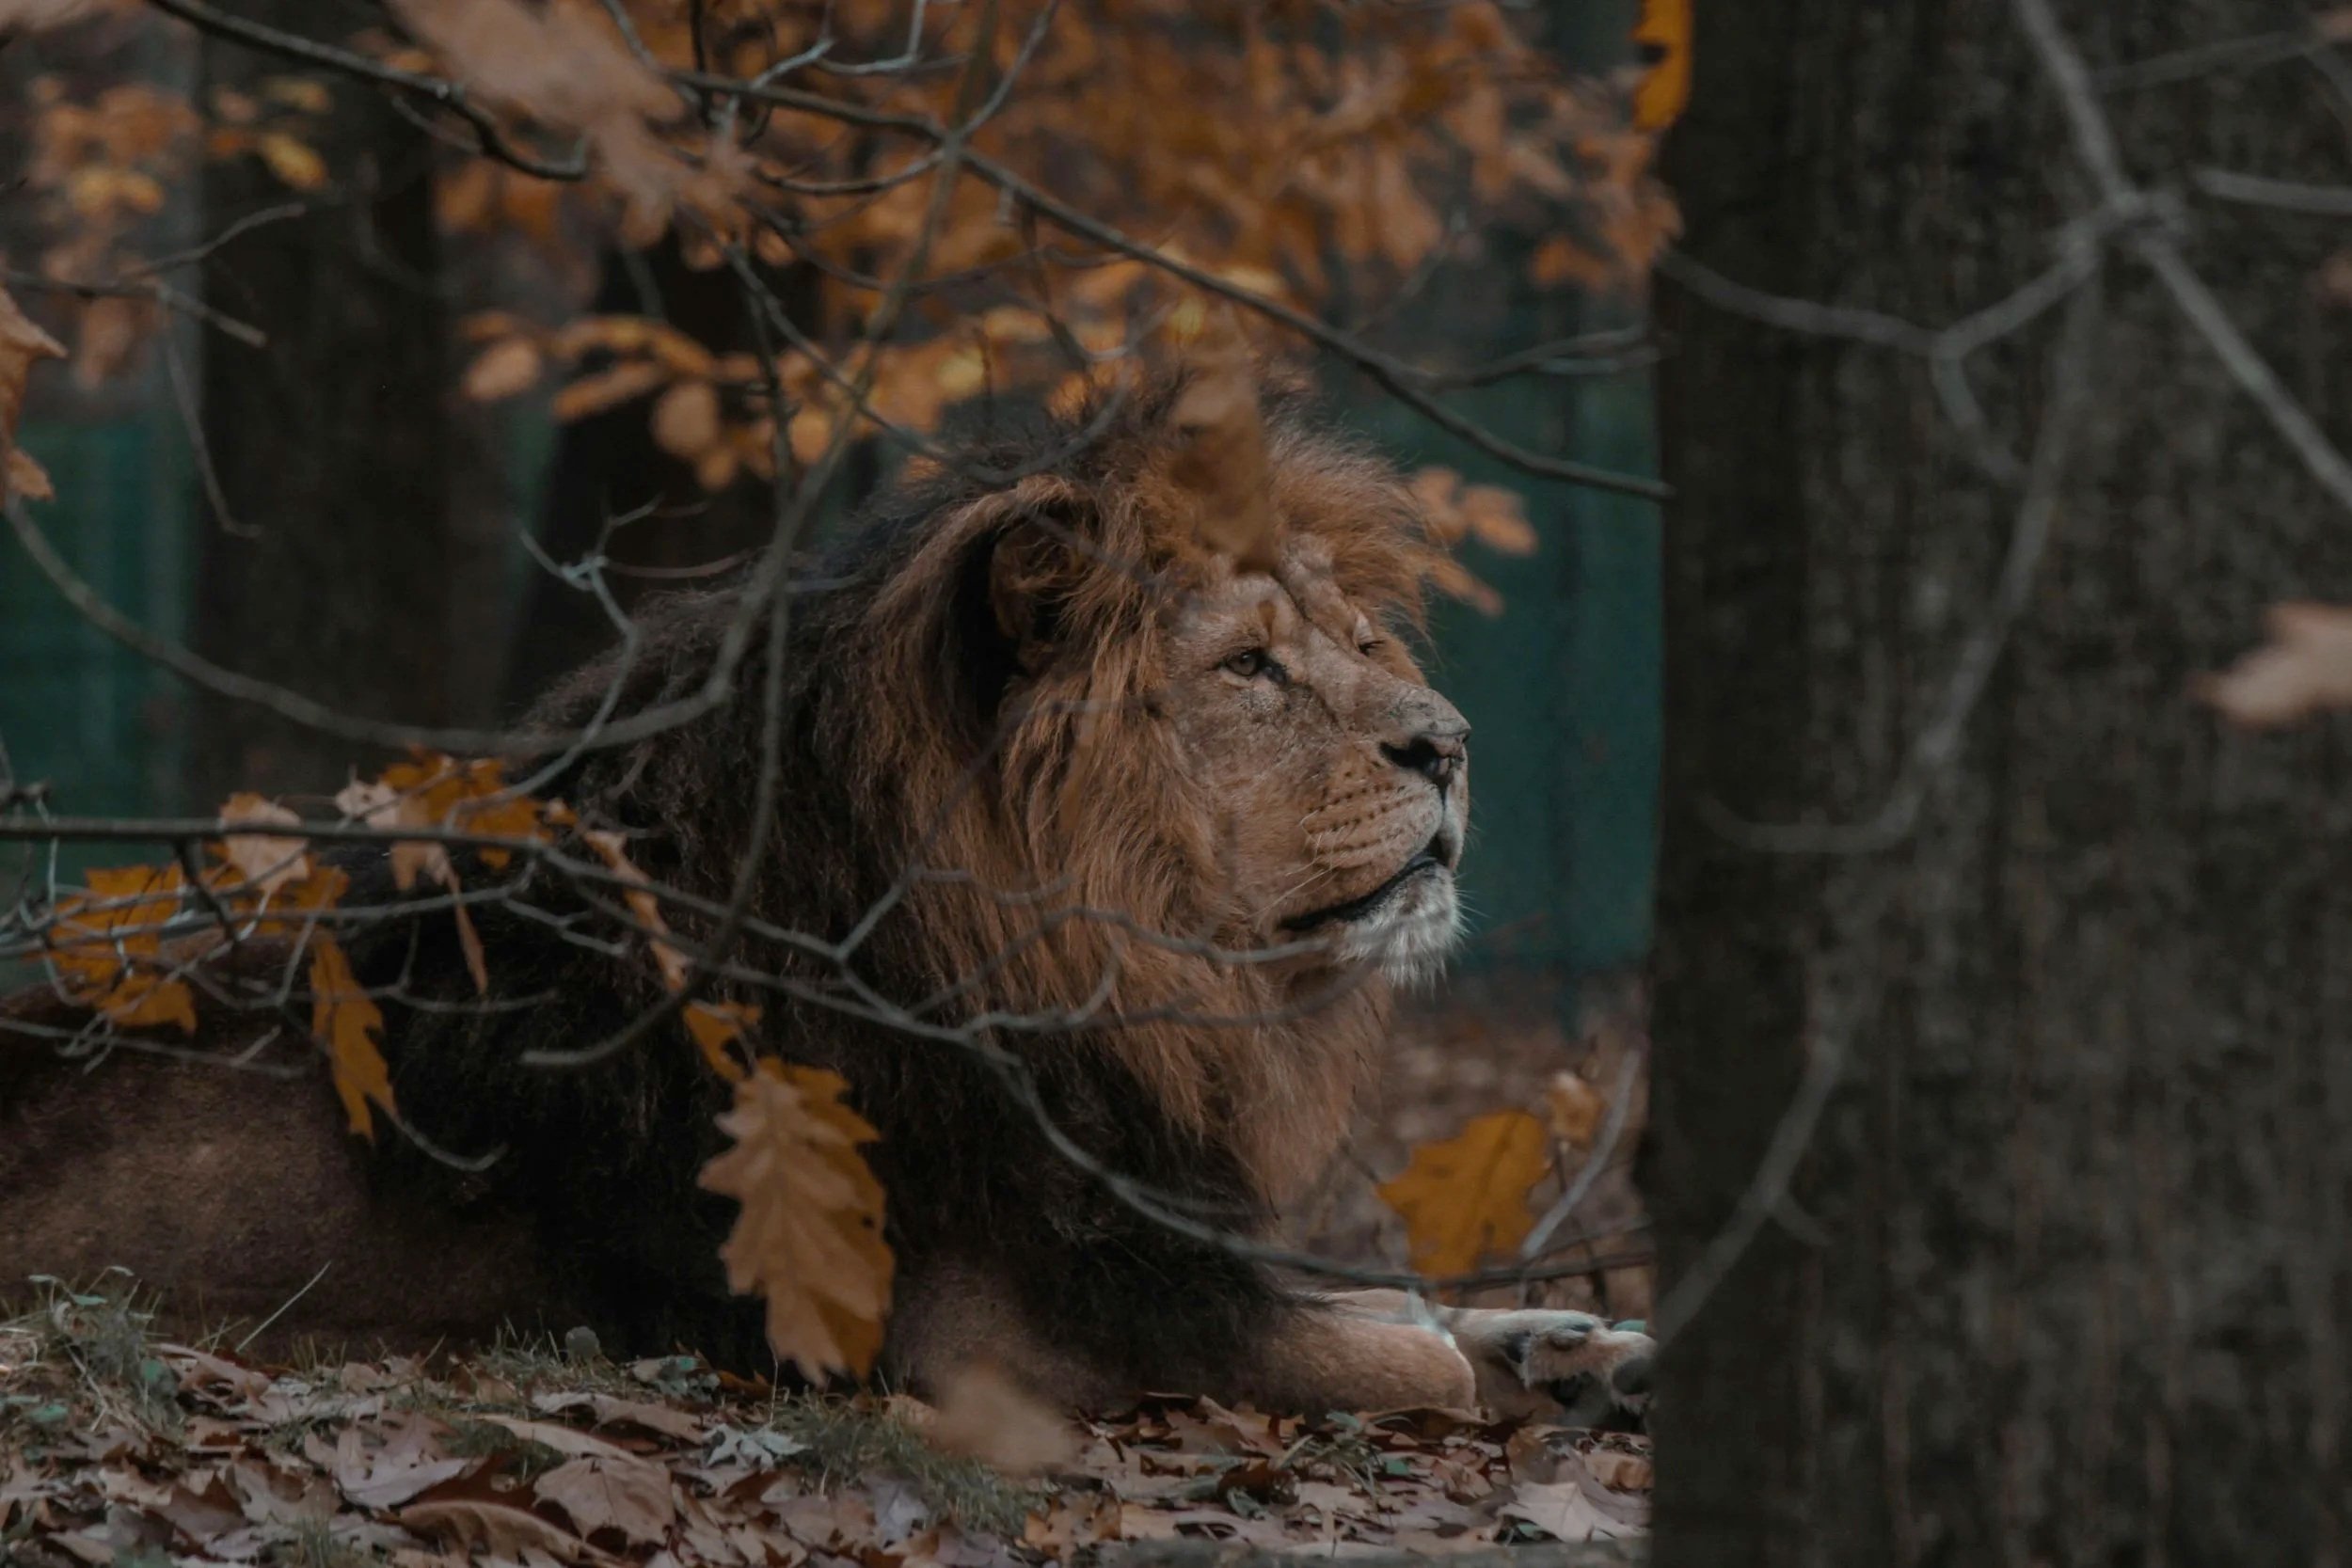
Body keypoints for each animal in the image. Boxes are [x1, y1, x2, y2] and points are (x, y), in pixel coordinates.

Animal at [0, 372, 1653, 1426]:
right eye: (1248, 664)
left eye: (1363, 643)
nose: (1451, 742)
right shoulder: (1004, 1332)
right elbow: (1406, 1355)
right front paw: (1507, 1362)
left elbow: (1407, 1307)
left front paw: (1584, 1339)